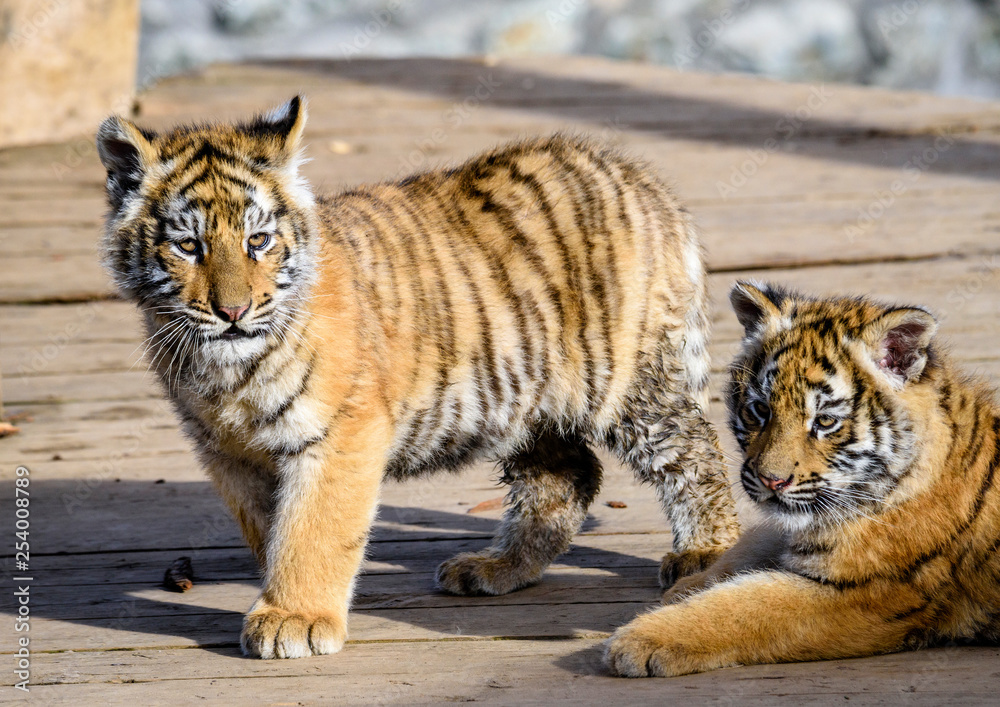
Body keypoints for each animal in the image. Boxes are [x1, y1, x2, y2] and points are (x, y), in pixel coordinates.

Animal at [95, 96, 740, 659]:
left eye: (259, 241)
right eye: (188, 246)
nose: (233, 311)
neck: (225, 369)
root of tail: (636, 174)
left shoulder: (340, 434)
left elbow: (312, 529)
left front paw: (295, 618)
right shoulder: (227, 452)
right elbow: (270, 528)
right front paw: (281, 599)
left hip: (625, 382)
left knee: (695, 453)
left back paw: (706, 554)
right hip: (524, 395)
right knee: (568, 476)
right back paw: (496, 568)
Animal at [605, 281, 1000, 677]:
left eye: (824, 421)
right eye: (760, 410)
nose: (771, 481)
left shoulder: (863, 593)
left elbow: (748, 606)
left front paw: (639, 639)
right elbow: (752, 543)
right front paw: (688, 585)